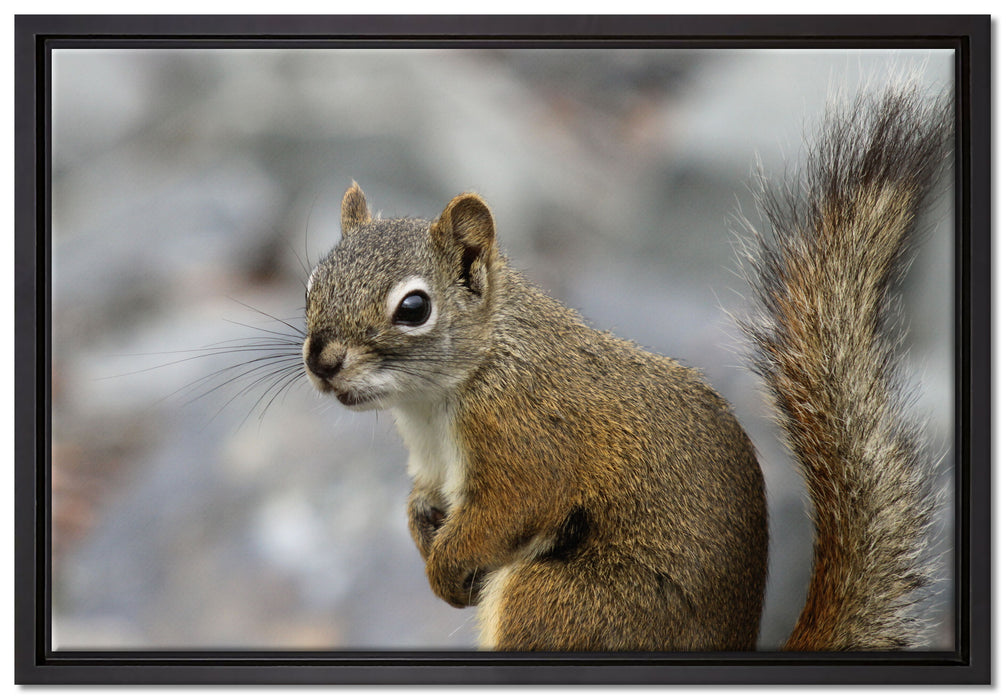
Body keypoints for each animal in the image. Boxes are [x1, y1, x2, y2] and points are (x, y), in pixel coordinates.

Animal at [301, 84, 951, 652]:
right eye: (310, 285)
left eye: (414, 308)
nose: (322, 362)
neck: (442, 395)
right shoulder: (433, 462)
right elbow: (423, 501)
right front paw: (423, 530)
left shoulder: (526, 433)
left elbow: (513, 507)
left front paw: (446, 569)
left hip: (565, 603)